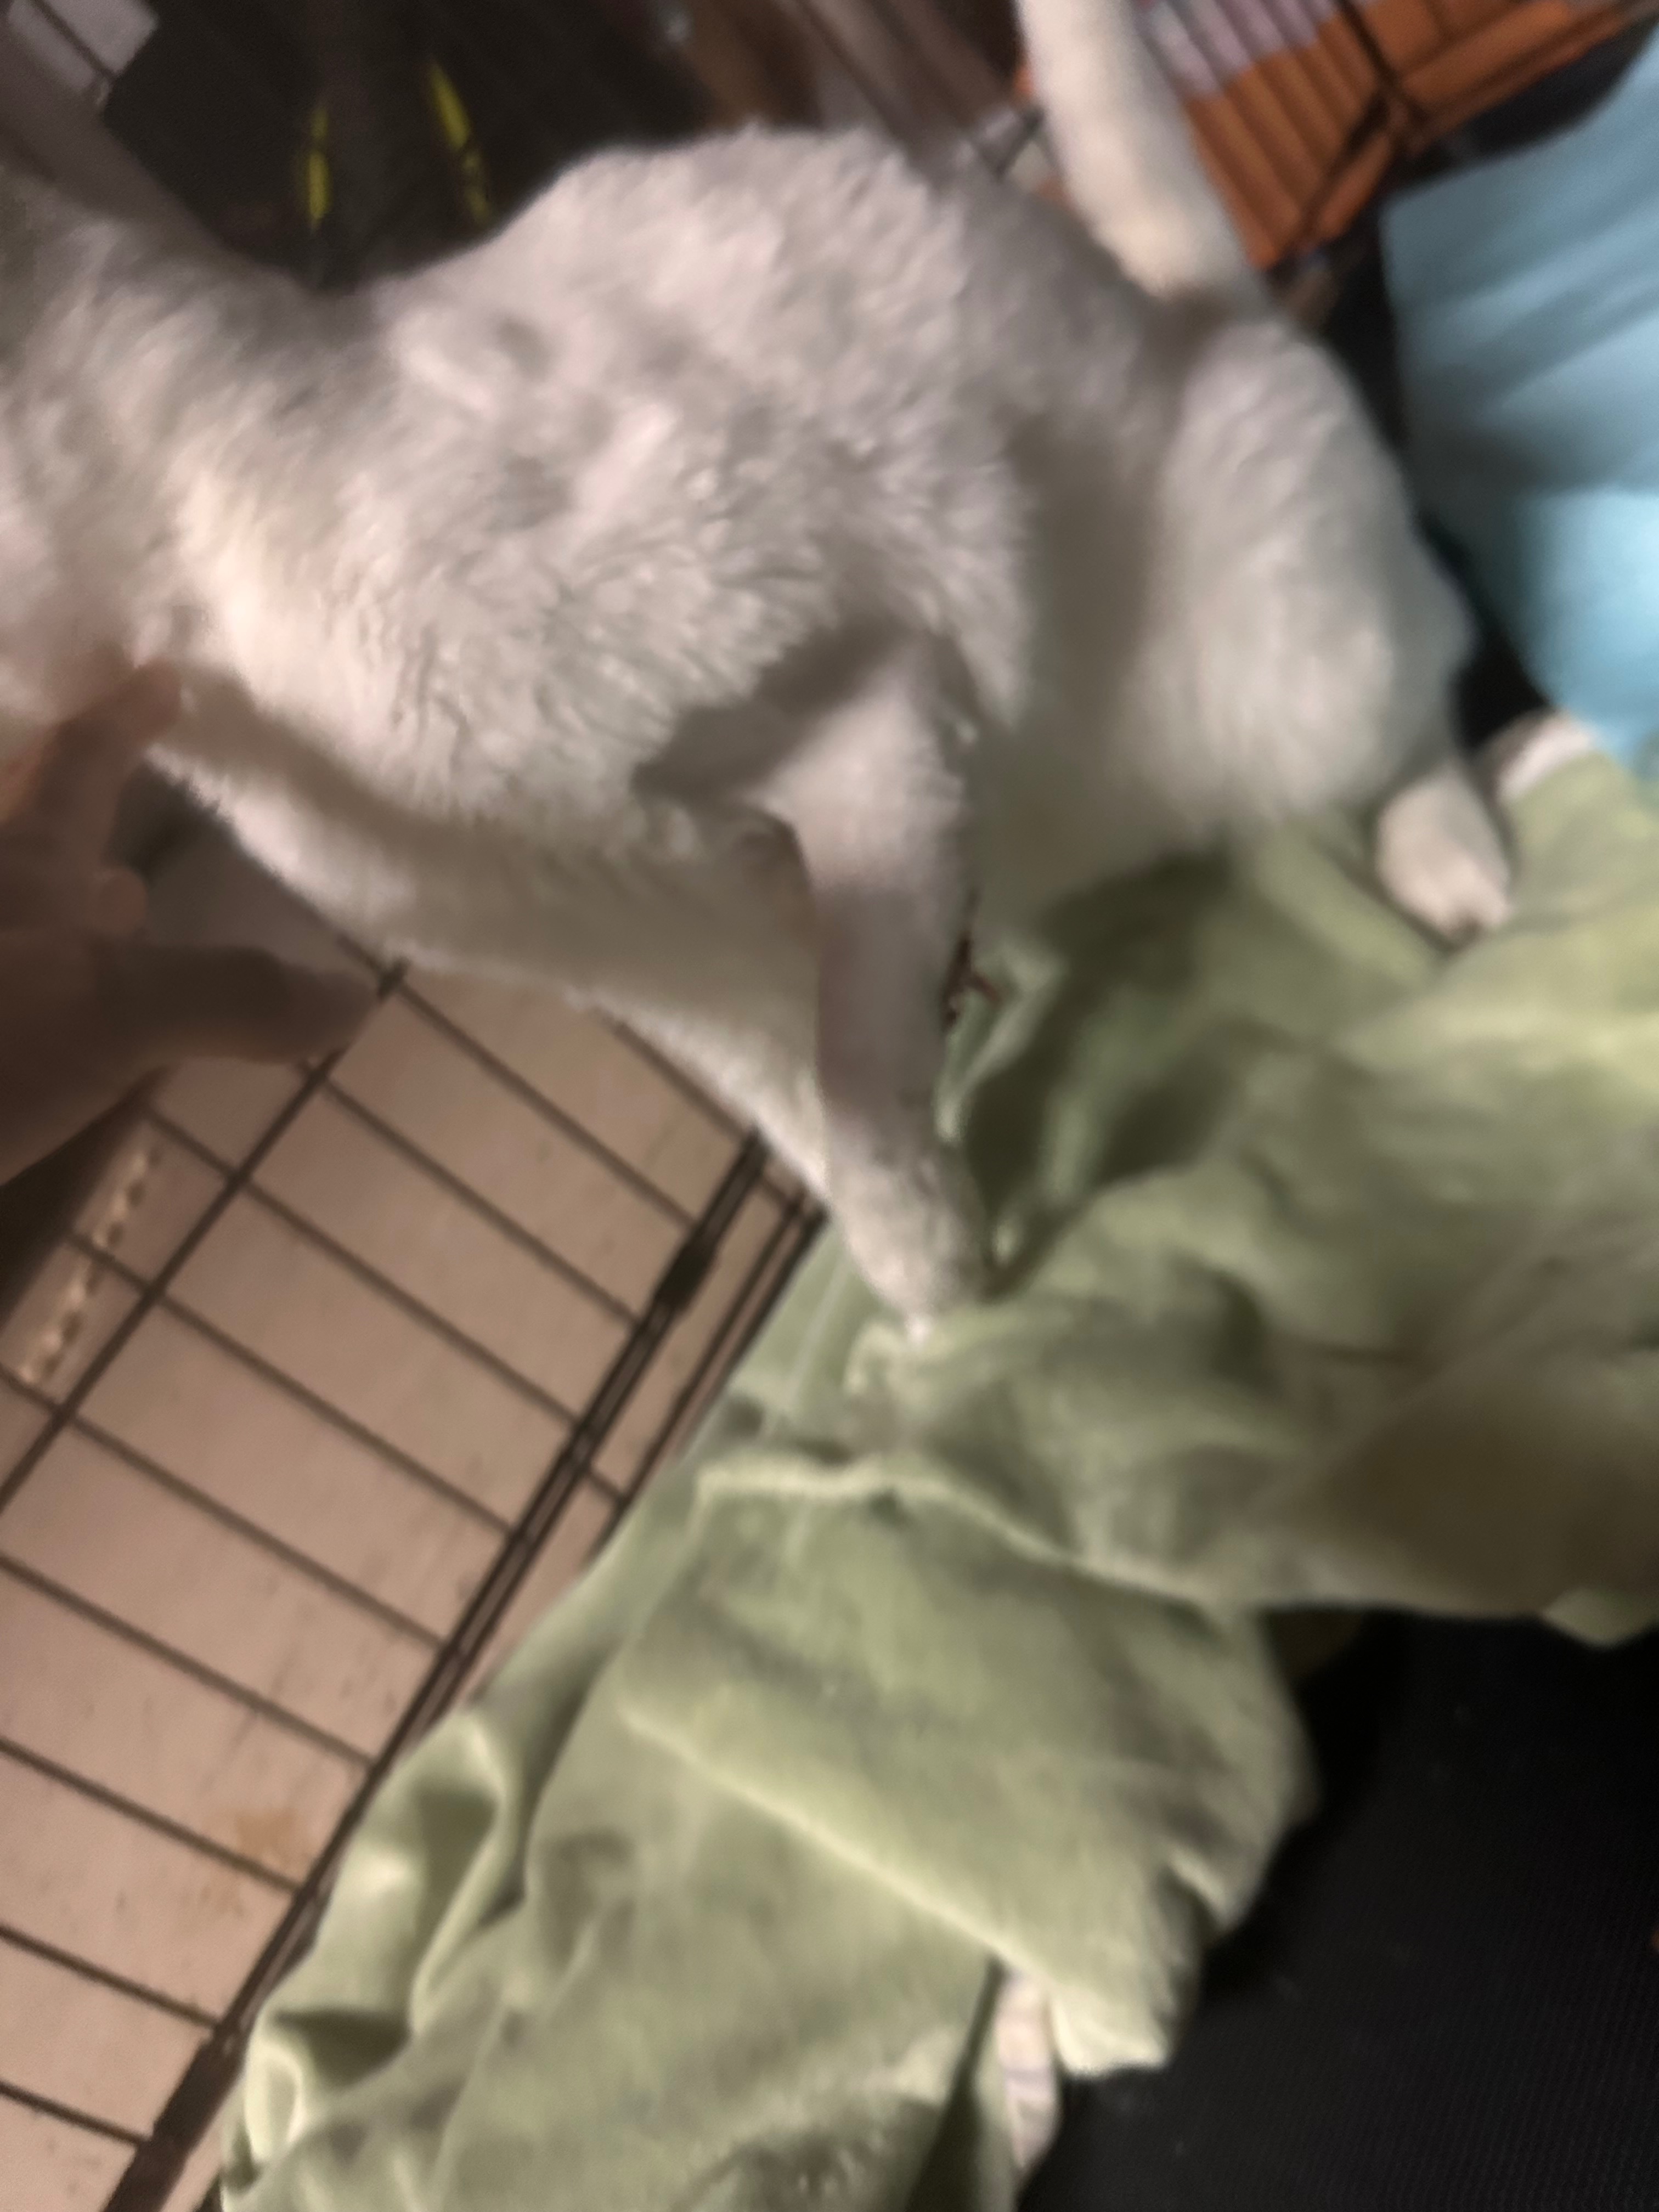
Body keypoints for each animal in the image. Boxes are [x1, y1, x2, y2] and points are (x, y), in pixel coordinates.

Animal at [0, 0, 1507, 1322]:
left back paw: (1450, 858)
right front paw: (924, 1274)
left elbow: (852, 1055)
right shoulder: (644, 959)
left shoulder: (871, 712)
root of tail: (1202, 316)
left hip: (1293, 651)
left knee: (1424, 685)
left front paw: (915, 1232)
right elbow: (790, 1107)